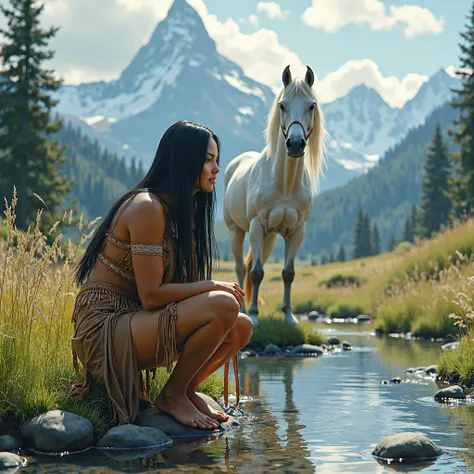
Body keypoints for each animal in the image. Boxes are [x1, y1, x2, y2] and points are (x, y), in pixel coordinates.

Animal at [222, 65, 326, 326]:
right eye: (282, 105)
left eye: (311, 105)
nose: (296, 144)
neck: (285, 184)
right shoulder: (257, 225)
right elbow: (257, 273)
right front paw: (254, 317)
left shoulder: (297, 230)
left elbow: (288, 273)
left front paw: (289, 316)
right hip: (237, 231)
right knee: (241, 268)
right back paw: (243, 309)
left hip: (268, 238)